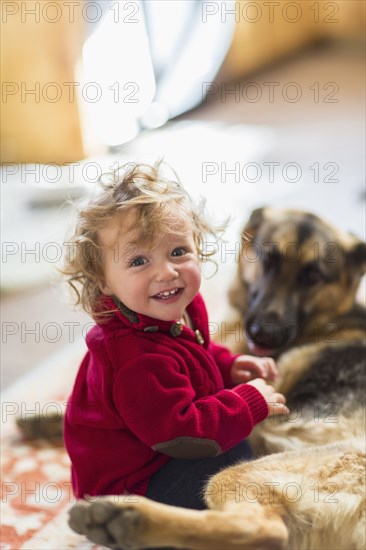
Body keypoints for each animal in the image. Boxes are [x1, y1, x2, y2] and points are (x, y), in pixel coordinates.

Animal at [69, 209, 366, 548]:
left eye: (313, 277)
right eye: (267, 260)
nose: (265, 334)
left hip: (237, 474)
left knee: (264, 529)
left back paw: (125, 519)